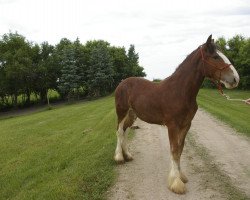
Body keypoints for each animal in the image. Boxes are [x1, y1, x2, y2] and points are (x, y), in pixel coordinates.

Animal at [114, 35, 239, 195]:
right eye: (215, 57)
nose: (235, 79)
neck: (180, 91)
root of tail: (122, 83)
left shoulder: (186, 125)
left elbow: (180, 149)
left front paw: (181, 176)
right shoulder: (172, 126)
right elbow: (174, 150)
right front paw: (176, 183)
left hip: (132, 115)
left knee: (124, 131)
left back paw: (128, 155)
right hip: (121, 112)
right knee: (119, 131)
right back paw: (119, 157)